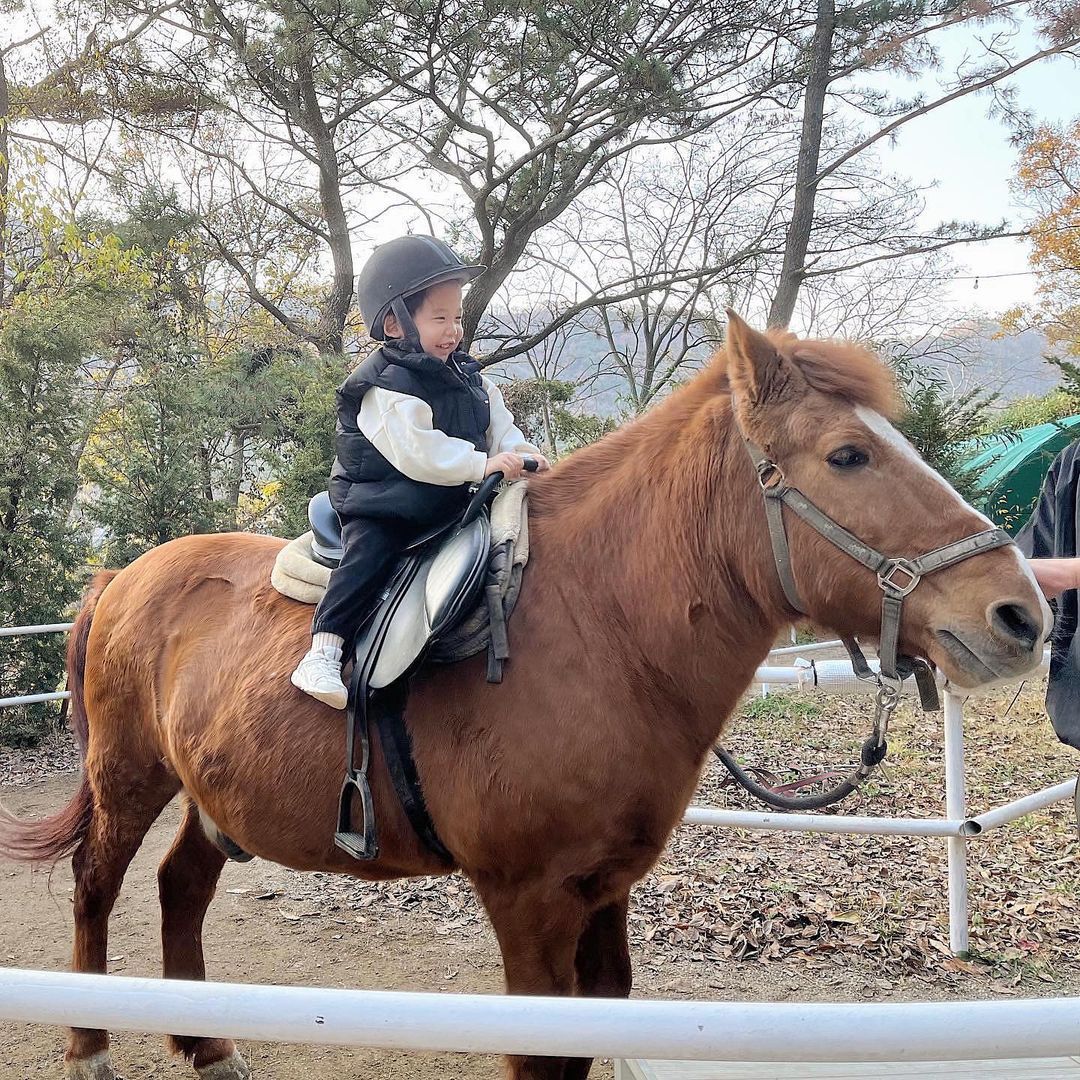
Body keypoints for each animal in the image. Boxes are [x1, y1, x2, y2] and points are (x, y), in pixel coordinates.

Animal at [0, 313, 1045, 1080]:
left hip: (214, 793)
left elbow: (604, 1022)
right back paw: (88, 1045)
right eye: (848, 456)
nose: (1021, 614)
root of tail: (125, 575)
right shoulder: (528, 898)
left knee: (181, 884)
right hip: (129, 774)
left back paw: (206, 1043)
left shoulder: (606, 888)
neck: (599, 627)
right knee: (96, 885)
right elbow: (547, 1055)